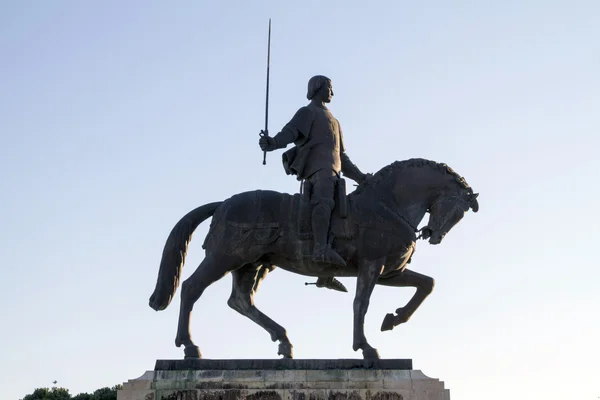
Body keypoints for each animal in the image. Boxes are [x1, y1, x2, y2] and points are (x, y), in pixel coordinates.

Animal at [149, 158, 478, 360]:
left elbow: (426, 285)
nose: (434, 235)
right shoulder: (372, 266)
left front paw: (394, 319)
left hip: (251, 265)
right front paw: (365, 347)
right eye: (457, 210)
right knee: (192, 288)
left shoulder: (389, 273)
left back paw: (283, 340)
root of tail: (224, 203)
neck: (387, 205)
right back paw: (189, 347)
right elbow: (361, 303)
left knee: (241, 301)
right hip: (224, 257)